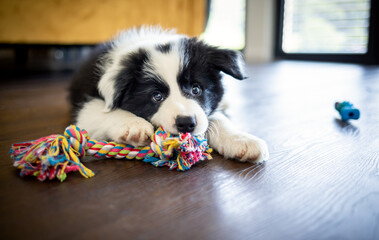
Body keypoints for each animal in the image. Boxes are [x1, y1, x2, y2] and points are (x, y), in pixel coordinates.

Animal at [69, 27, 270, 164]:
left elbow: (216, 118)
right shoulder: (87, 105)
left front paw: (242, 140)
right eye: (156, 96)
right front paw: (133, 125)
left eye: (196, 89)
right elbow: (102, 111)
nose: (186, 123)